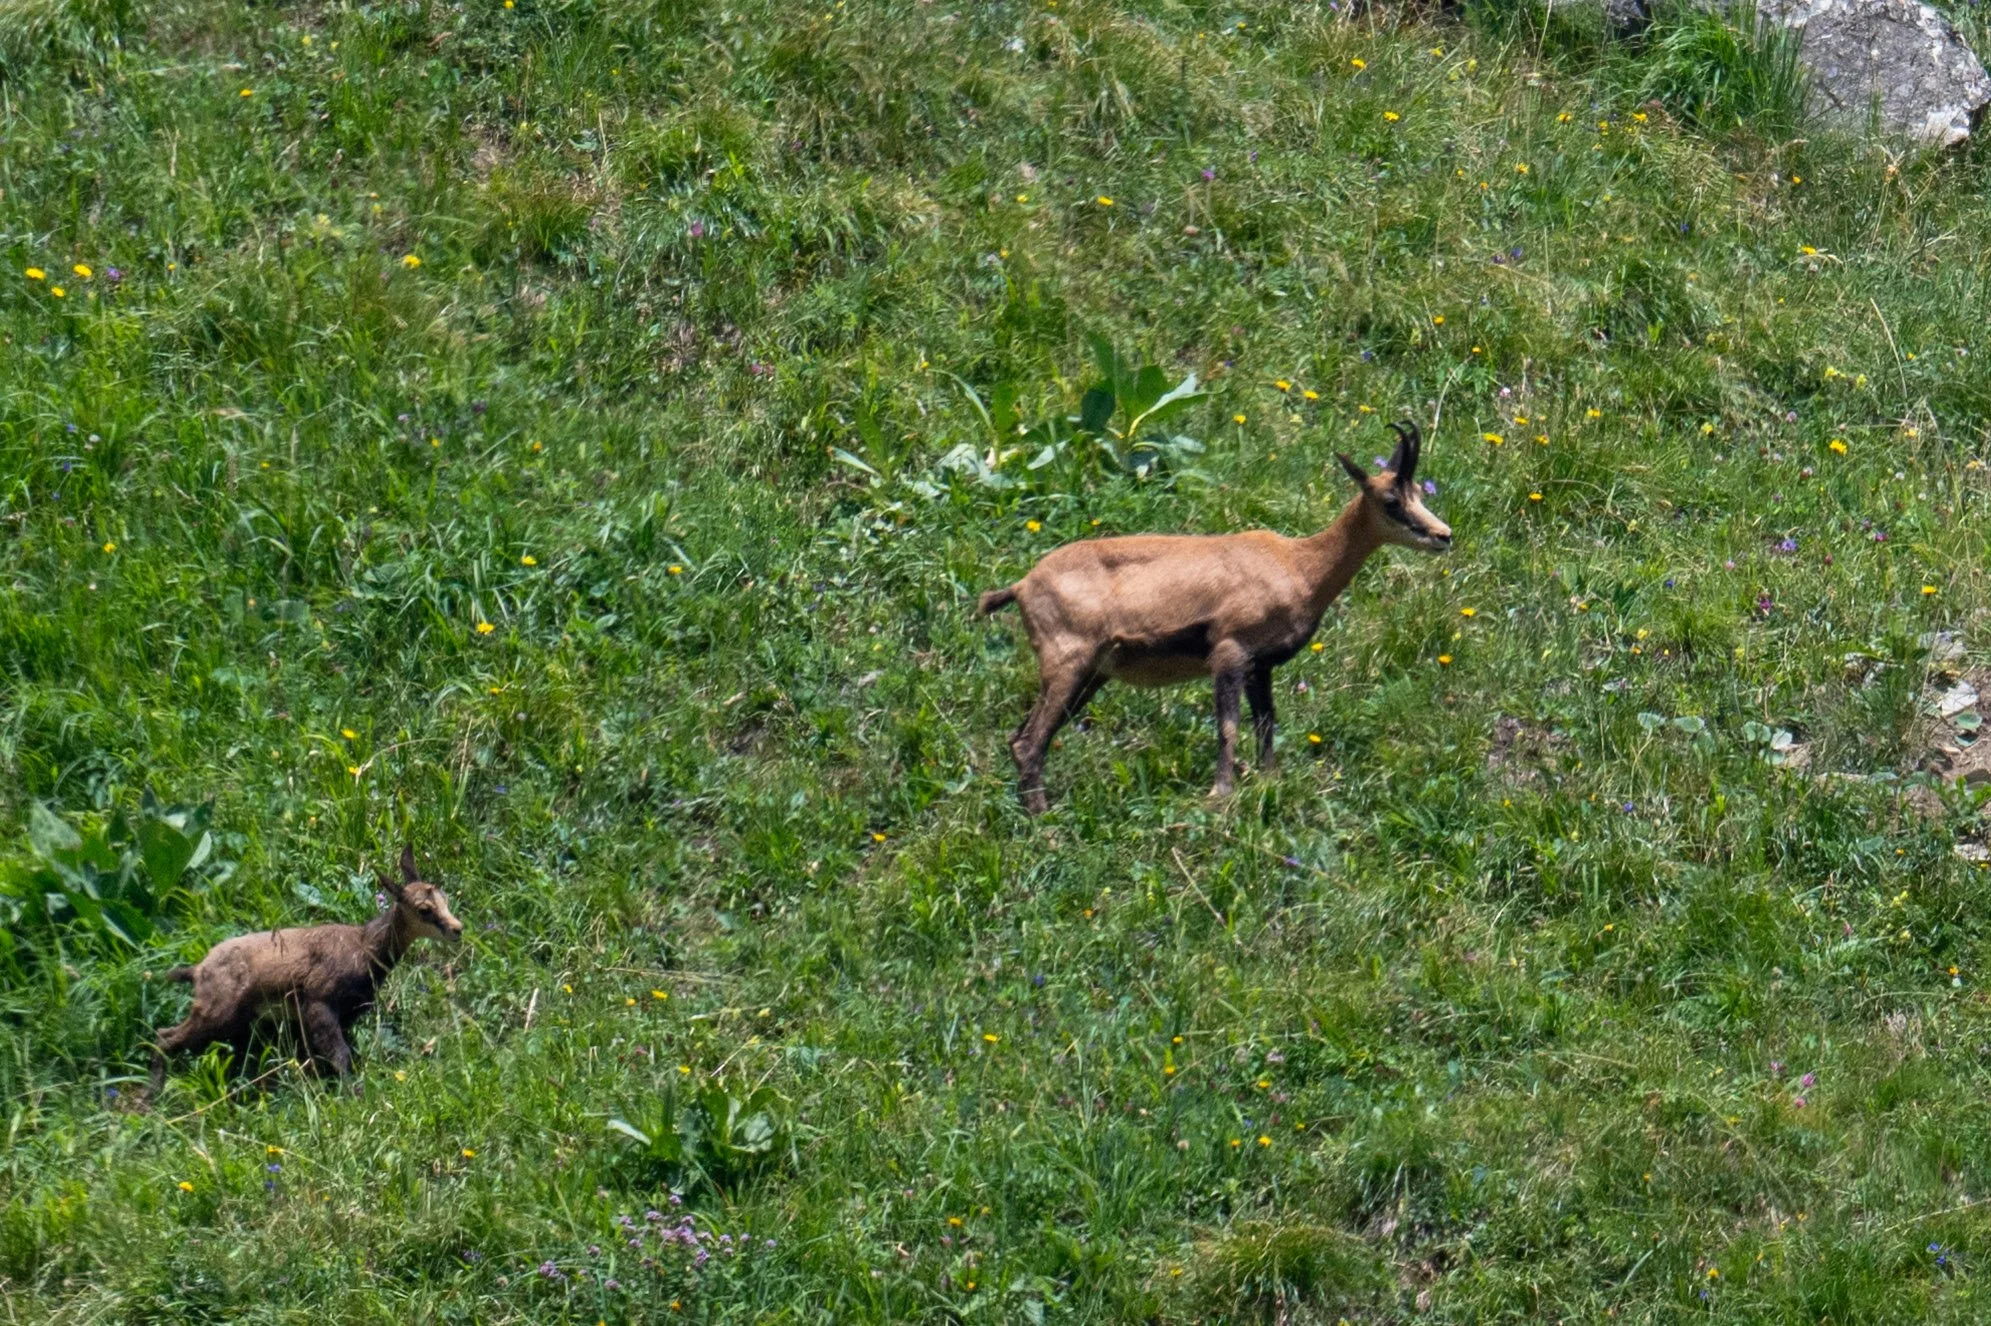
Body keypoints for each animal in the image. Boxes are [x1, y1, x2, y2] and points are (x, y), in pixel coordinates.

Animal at [148, 845, 462, 1095]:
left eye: (444, 898)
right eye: (424, 909)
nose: (457, 929)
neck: (365, 946)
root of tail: (198, 970)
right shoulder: (318, 1002)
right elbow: (340, 1055)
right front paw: (354, 1096)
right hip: (216, 1011)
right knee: (165, 1036)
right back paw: (151, 1098)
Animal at [979, 421, 1451, 813]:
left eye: (1419, 493)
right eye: (1391, 500)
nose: (1443, 535)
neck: (1299, 564)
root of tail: (1022, 585)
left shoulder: (1261, 666)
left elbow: (1266, 724)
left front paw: (1269, 782)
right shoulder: (1230, 652)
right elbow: (1228, 726)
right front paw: (1219, 793)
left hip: (1091, 675)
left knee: (1019, 739)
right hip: (1067, 665)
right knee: (1030, 743)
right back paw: (1044, 822)